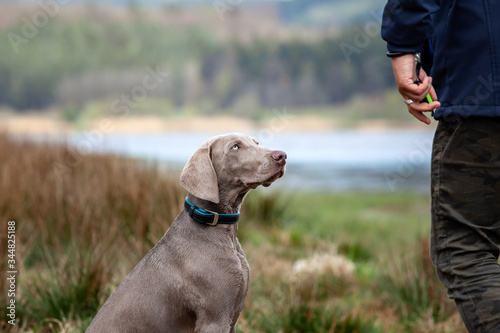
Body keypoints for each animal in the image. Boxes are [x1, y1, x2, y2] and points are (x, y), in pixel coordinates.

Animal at [87, 133, 286, 332]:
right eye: (235, 147)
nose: (282, 156)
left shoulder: (232, 317)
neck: (223, 231)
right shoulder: (214, 319)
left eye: (256, 143)